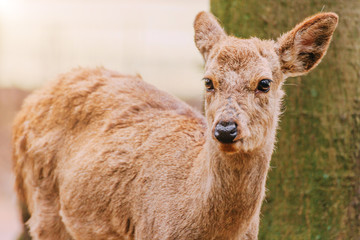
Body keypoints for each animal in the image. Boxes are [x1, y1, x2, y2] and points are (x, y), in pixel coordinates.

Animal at [11, 11, 338, 240]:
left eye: (265, 83)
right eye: (208, 81)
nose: (225, 129)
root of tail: (27, 106)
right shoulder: (149, 229)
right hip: (43, 206)